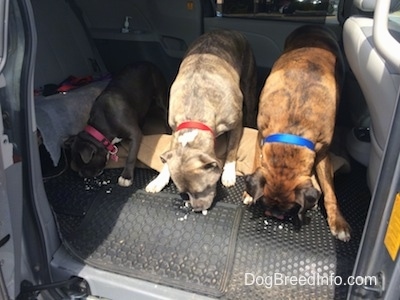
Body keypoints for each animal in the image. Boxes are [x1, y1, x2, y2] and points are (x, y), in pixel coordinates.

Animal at [241, 25, 350, 241]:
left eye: (290, 208)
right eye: (265, 203)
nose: (274, 215)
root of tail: (314, 26)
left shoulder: (323, 154)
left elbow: (330, 191)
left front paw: (338, 221)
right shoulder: (261, 135)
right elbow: (257, 161)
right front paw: (249, 194)